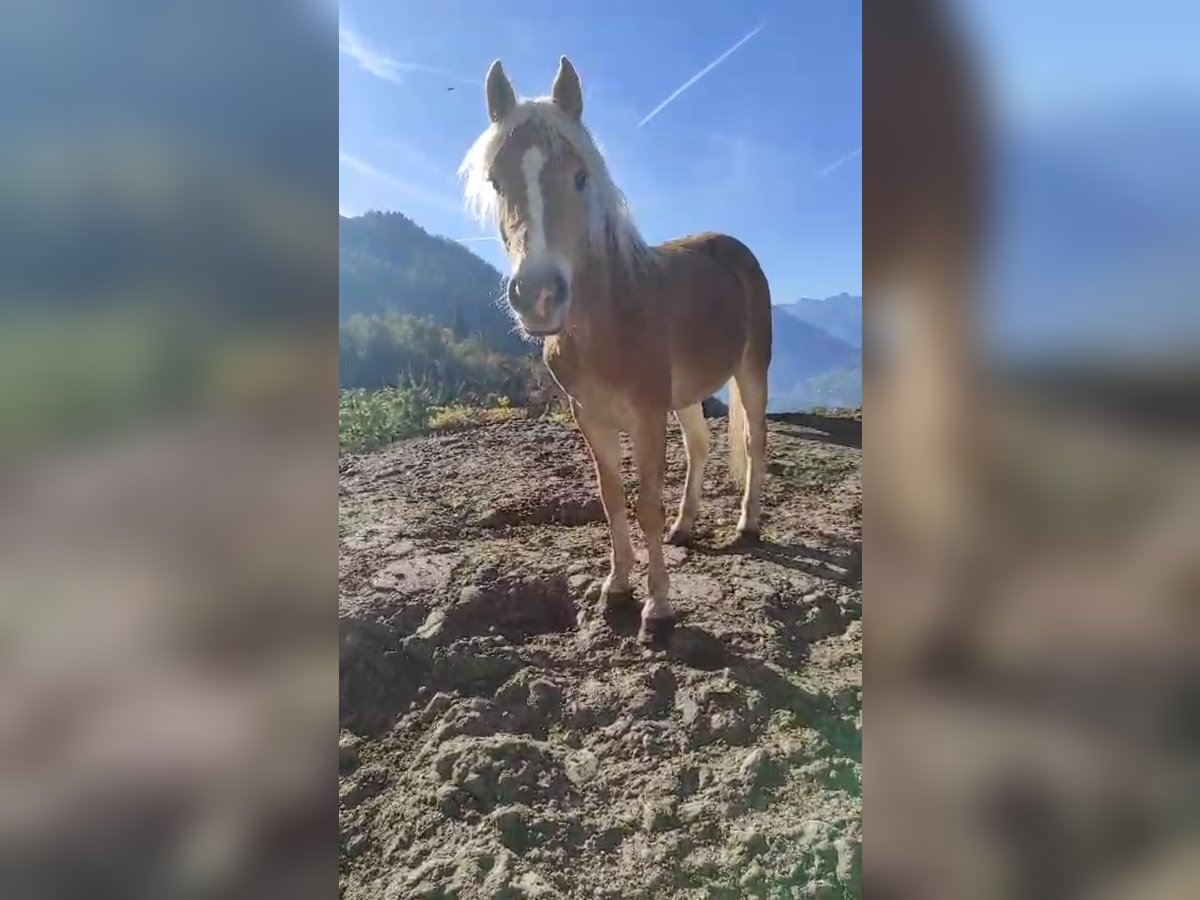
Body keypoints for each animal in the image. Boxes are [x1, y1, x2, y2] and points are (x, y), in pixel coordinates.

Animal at [453, 56, 772, 643]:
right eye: (496, 181)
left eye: (581, 177)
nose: (538, 295)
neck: (608, 321)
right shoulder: (591, 416)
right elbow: (611, 498)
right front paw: (616, 589)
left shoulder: (646, 416)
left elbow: (645, 504)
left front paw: (658, 610)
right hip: (686, 394)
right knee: (699, 446)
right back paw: (686, 526)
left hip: (751, 370)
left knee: (754, 441)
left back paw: (747, 524)